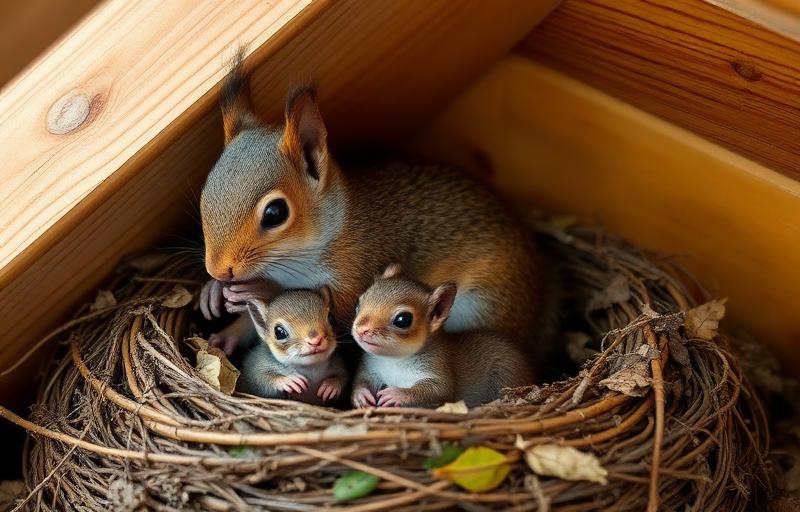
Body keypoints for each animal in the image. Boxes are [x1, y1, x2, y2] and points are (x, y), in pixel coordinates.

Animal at [198, 54, 546, 359]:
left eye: (275, 213)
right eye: (204, 194)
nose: (218, 270)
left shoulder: (357, 270)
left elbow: (339, 312)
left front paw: (256, 287)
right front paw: (215, 297)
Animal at [350, 264, 533, 408]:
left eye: (403, 319)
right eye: (359, 303)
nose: (361, 329)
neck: (393, 361)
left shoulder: (438, 367)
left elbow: (438, 390)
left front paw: (398, 394)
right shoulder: (371, 369)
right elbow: (361, 381)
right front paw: (360, 395)